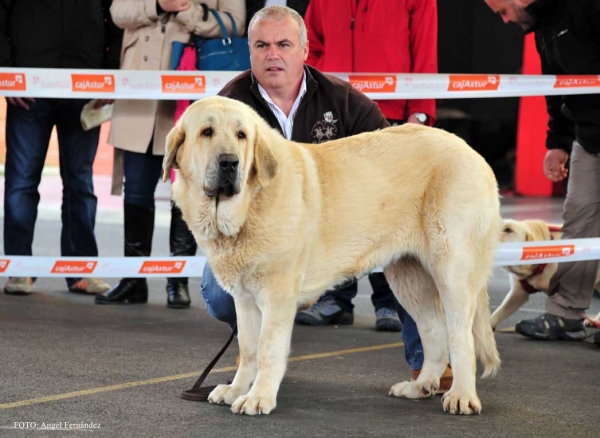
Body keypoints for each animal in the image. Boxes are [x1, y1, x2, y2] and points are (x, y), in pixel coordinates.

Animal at [163, 95, 502, 414]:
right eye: (207, 132)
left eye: (241, 135)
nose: (230, 162)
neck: (247, 207)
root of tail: (473, 153)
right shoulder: (245, 299)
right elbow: (249, 349)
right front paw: (236, 390)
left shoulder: (277, 297)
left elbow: (268, 349)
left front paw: (258, 398)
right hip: (408, 278)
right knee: (435, 330)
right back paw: (420, 386)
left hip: (452, 271)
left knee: (461, 336)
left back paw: (461, 395)